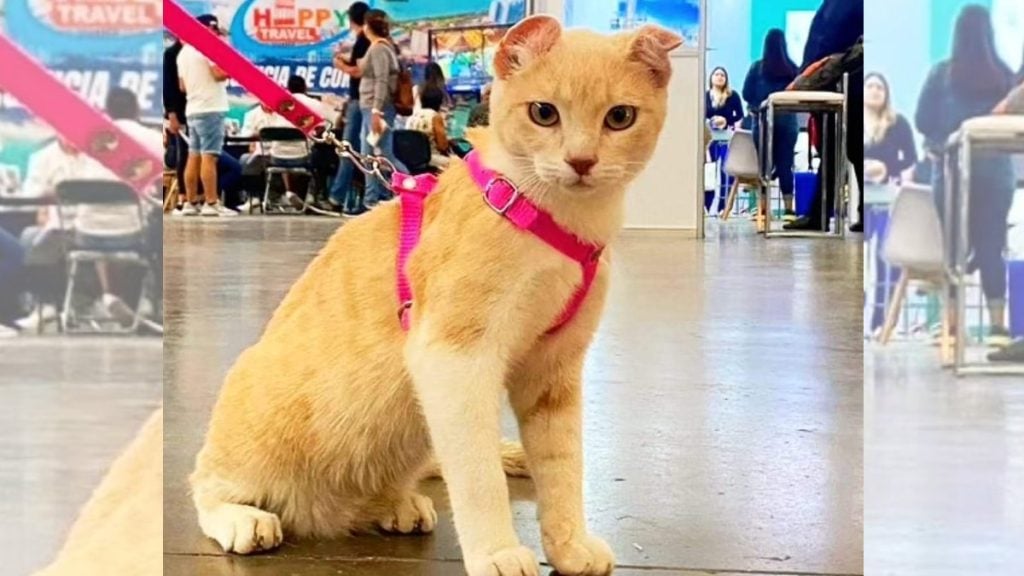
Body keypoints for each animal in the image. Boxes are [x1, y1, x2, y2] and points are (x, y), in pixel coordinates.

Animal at [189, 15, 681, 576]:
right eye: (544, 113)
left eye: (619, 117)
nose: (581, 161)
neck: (550, 217)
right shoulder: (454, 358)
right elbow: (478, 471)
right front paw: (497, 551)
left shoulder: (554, 371)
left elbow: (563, 465)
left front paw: (568, 542)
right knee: (204, 483)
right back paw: (241, 517)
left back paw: (394, 503)